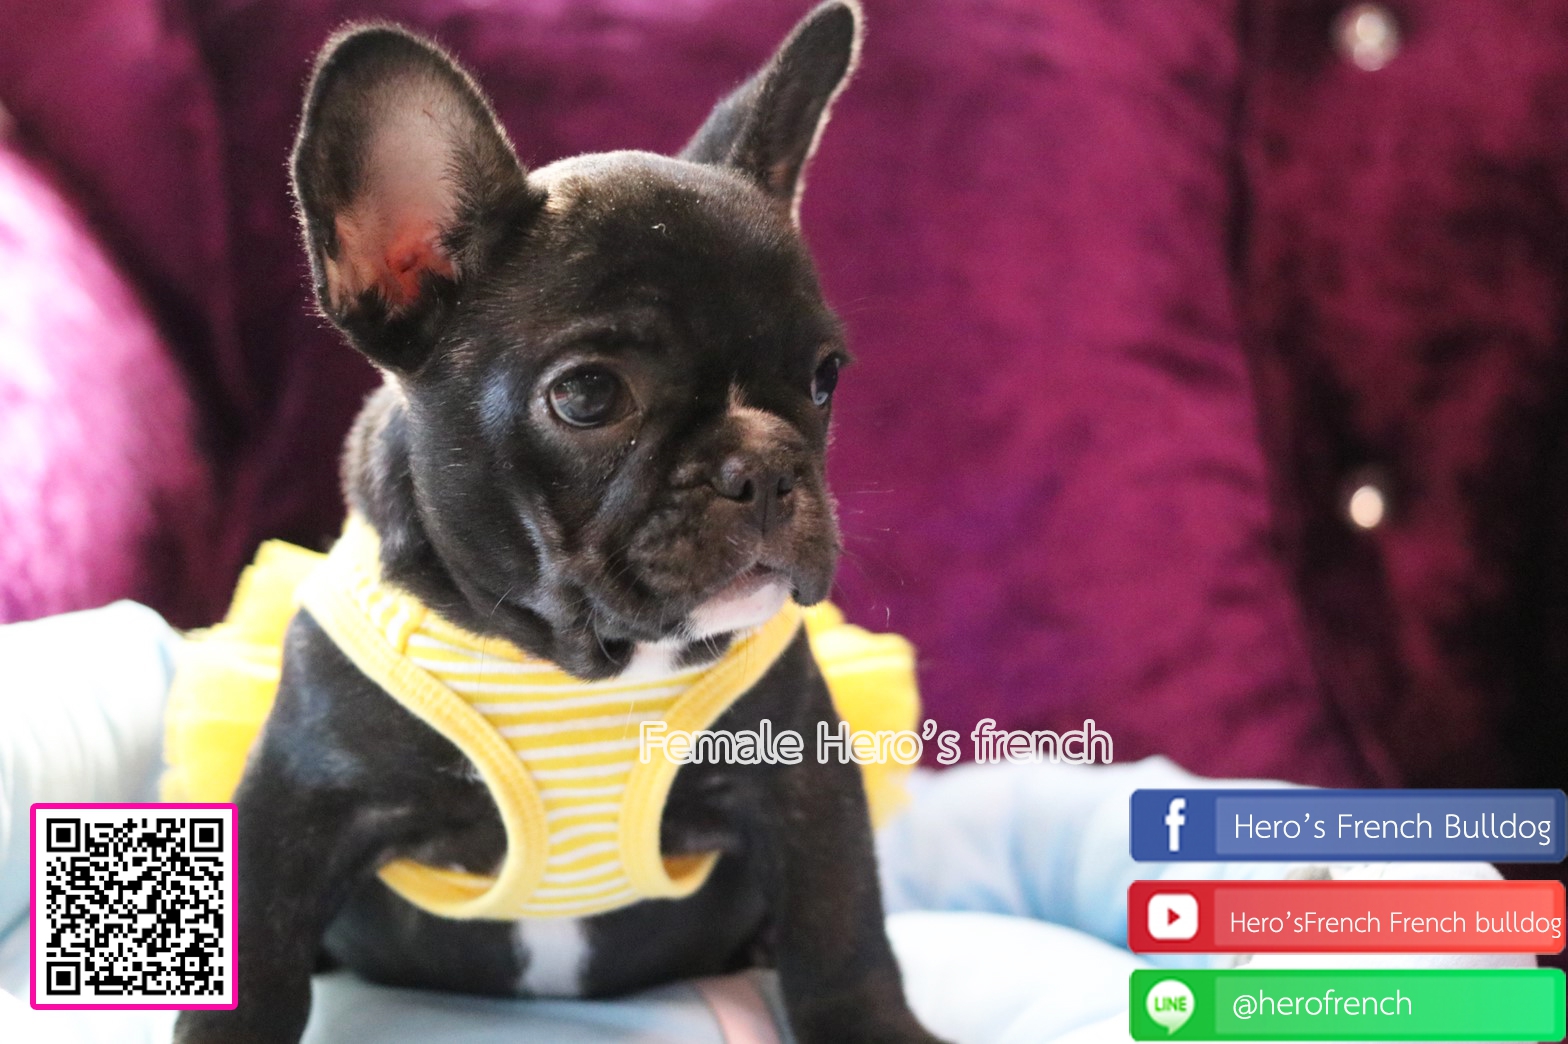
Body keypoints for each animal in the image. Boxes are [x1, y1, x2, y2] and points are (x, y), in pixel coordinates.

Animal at [173, 3, 944, 1042]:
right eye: (587, 396)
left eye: (826, 378)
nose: (767, 468)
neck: (577, 663)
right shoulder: (299, 800)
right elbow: (255, 963)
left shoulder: (798, 783)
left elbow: (842, 928)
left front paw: (874, 1024)